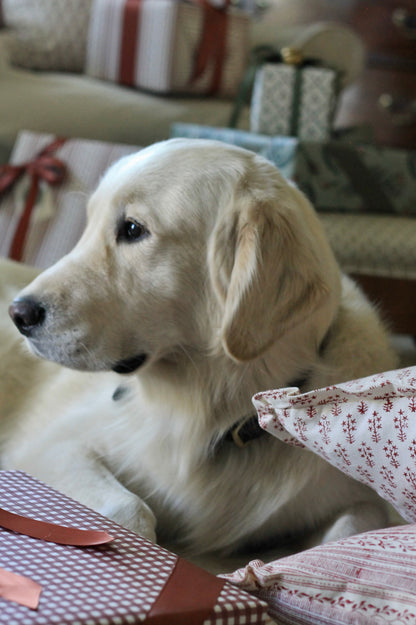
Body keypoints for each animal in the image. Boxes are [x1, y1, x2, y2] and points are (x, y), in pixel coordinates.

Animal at [0, 140, 396, 560]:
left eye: (133, 229)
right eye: (88, 225)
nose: (19, 314)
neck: (212, 415)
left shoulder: (351, 497)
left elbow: (356, 528)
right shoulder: (53, 445)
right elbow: (129, 507)